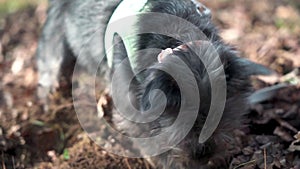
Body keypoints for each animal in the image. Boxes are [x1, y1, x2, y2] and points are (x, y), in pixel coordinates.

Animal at [35, 0, 272, 168]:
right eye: (181, 114)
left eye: (220, 112)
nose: (203, 155)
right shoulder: (131, 106)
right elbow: (147, 137)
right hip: (55, 47)